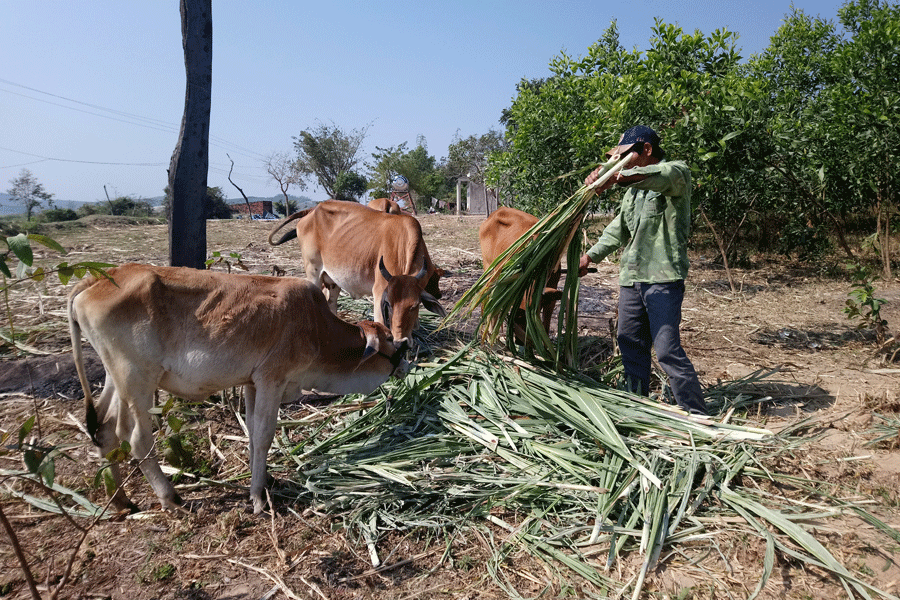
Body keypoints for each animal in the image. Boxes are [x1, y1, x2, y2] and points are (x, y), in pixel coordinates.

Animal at [69, 264, 408, 512]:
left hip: (116, 378)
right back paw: (171, 497)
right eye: (389, 344)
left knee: (104, 429)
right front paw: (258, 496)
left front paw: (263, 480)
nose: (405, 359)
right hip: (137, 379)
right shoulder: (272, 379)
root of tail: (95, 280)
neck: (318, 327)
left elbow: (253, 433)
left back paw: (121, 501)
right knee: (137, 439)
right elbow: (264, 435)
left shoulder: (252, 383)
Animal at [270, 200, 446, 344]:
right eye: (388, 304)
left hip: (333, 279)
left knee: (331, 303)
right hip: (313, 272)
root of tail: (314, 209)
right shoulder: (379, 291)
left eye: (415, 306)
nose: (400, 342)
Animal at [478, 207, 564, 344]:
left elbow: (546, 324)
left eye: (526, 319)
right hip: (489, 269)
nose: (519, 342)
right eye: (516, 317)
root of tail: (498, 211)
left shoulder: (552, 293)